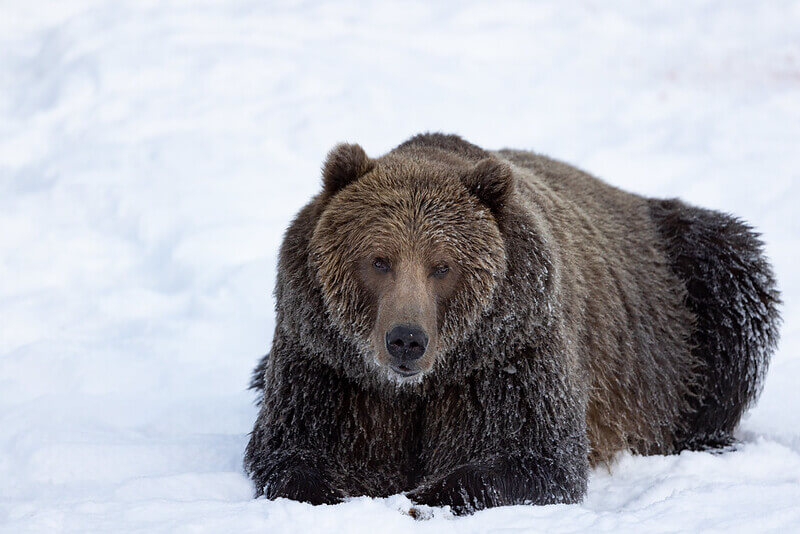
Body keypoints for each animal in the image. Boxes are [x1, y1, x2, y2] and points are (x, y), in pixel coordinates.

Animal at [245, 133, 781, 514]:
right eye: (379, 260)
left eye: (443, 266)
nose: (406, 340)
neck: (418, 387)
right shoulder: (329, 363)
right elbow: (294, 452)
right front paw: (340, 490)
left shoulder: (506, 354)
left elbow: (532, 456)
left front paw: (420, 497)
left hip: (683, 293)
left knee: (736, 288)